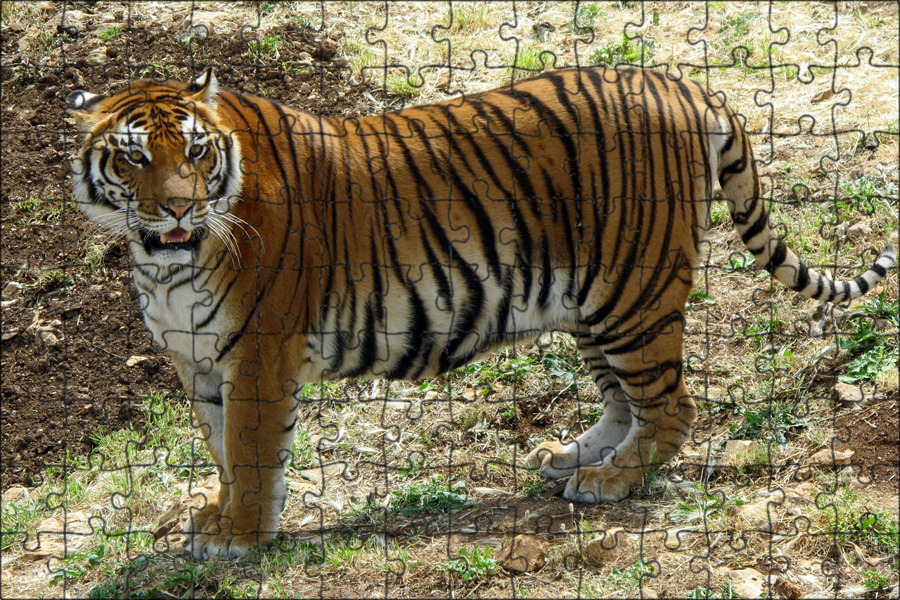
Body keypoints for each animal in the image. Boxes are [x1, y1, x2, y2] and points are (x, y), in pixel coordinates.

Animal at [68, 67, 895, 558]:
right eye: (135, 157)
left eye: (197, 153)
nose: (179, 207)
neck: (164, 262)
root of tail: (684, 82)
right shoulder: (200, 359)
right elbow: (218, 451)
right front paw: (217, 517)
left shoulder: (259, 353)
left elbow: (248, 449)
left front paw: (241, 537)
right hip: (592, 301)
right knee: (623, 399)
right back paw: (574, 458)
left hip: (633, 292)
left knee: (672, 406)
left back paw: (609, 483)